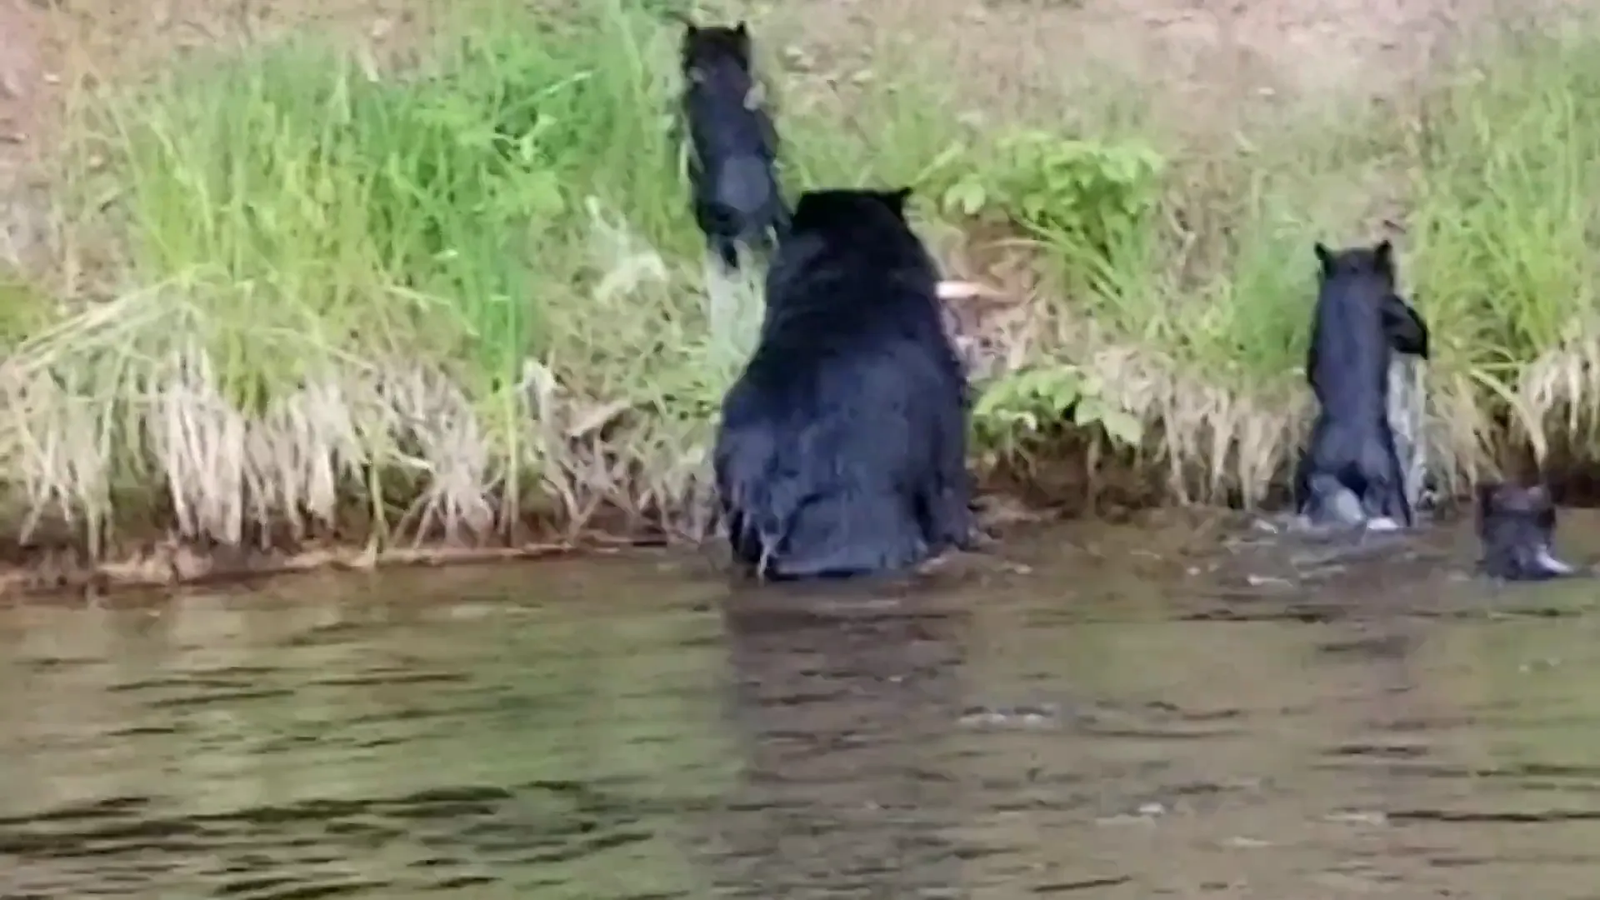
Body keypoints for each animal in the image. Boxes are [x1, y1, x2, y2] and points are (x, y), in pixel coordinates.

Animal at [1292, 238, 1433, 528]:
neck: (1352, 280)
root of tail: (1351, 457)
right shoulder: (1397, 311)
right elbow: (1418, 334)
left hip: (1311, 476)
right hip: (1390, 481)